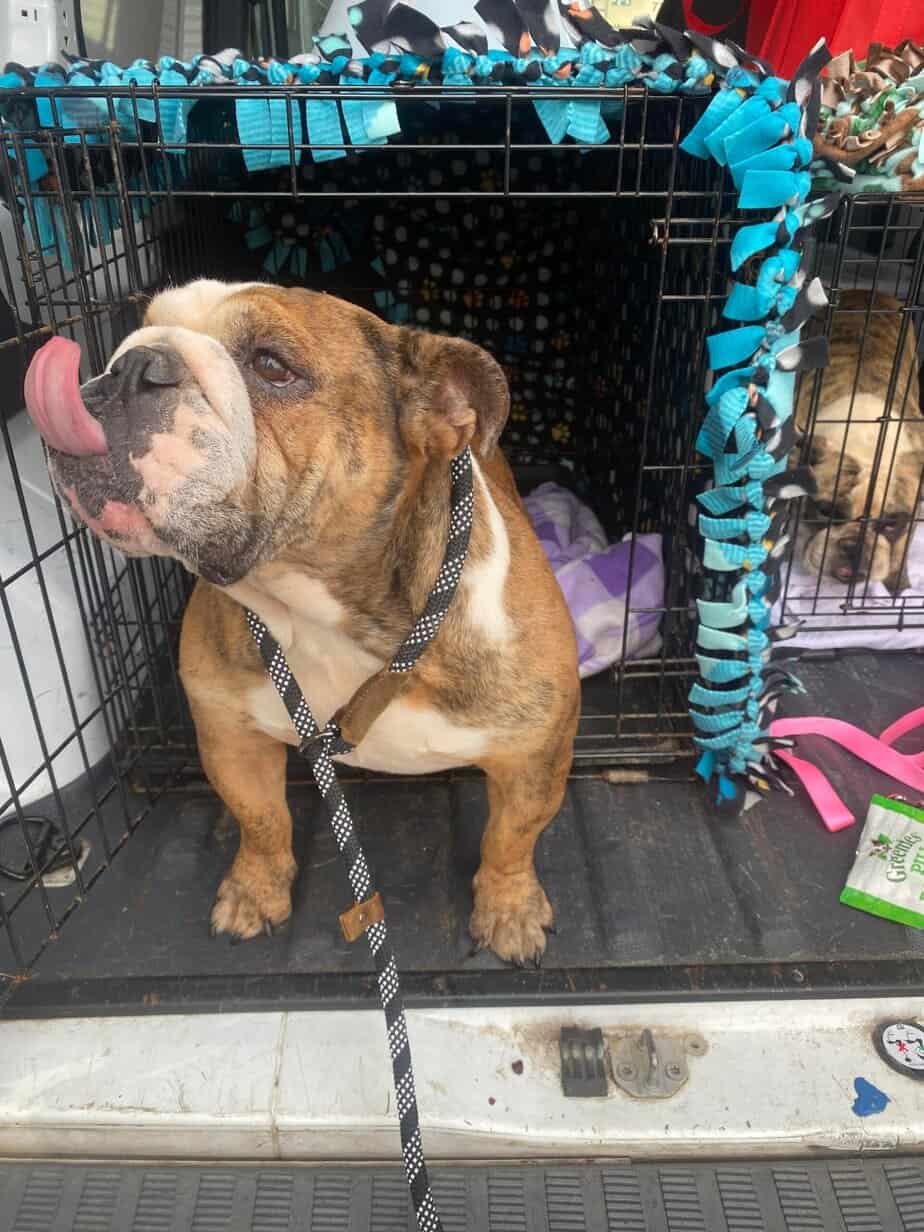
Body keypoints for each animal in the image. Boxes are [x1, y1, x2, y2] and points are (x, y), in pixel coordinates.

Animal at [24, 279, 579, 964]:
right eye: (137, 330)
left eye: (271, 365)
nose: (131, 366)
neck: (319, 611)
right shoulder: (229, 734)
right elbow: (261, 820)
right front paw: (254, 892)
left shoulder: (536, 755)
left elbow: (511, 838)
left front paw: (509, 910)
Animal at [795, 289, 924, 592]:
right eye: (825, 511)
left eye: (892, 524)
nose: (854, 547)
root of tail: (865, 292)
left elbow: (901, 550)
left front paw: (898, 585)